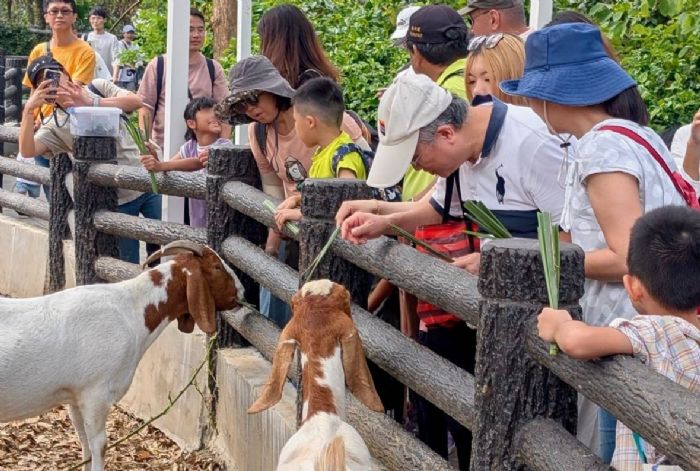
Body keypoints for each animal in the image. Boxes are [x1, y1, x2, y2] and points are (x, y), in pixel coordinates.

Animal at [0, 242, 245, 470]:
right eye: (216, 266)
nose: (241, 292)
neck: (131, 309)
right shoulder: (95, 393)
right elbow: (99, 445)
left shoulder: (75, 396)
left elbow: (84, 444)